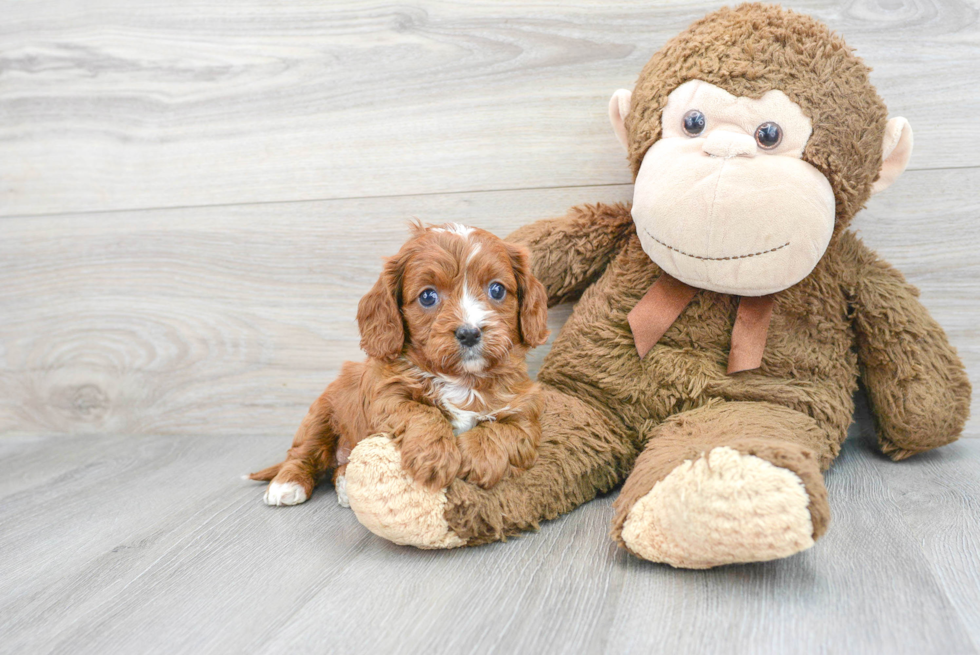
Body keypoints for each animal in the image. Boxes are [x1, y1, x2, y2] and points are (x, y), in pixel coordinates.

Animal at [249, 224, 548, 508]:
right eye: (427, 296)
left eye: (496, 290)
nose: (469, 333)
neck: (462, 379)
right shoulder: (386, 397)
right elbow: (422, 412)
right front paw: (434, 457)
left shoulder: (526, 411)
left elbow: (503, 430)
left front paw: (476, 458)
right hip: (319, 415)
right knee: (302, 452)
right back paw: (287, 484)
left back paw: (345, 482)